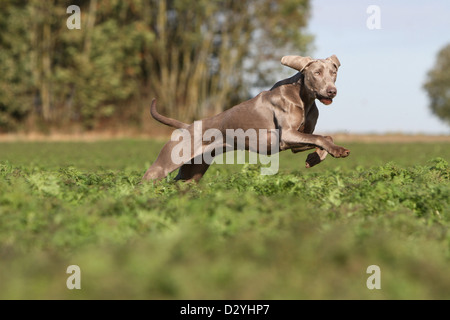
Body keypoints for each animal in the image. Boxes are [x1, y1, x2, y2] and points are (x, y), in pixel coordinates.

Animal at [142, 53, 350, 181]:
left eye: (333, 73)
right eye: (317, 73)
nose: (332, 91)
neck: (303, 97)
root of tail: (186, 126)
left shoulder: (295, 141)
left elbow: (324, 137)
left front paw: (315, 158)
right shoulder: (287, 135)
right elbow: (320, 137)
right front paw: (336, 151)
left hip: (193, 172)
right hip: (165, 164)